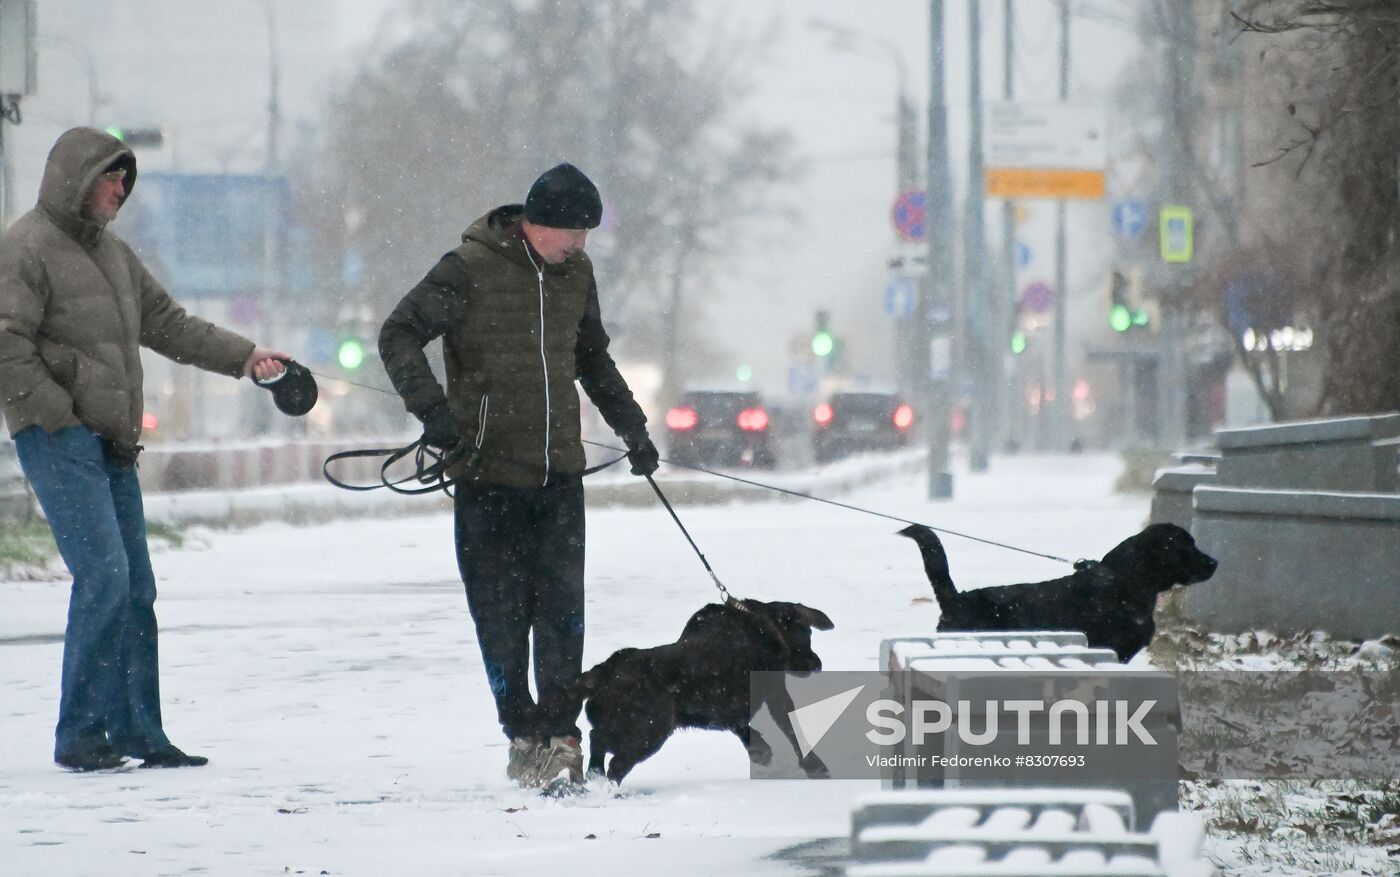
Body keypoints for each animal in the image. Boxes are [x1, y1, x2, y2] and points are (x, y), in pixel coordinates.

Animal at [562, 596, 834, 784]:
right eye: (807, 632)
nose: (817, 664)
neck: (764, 627)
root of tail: (602, 671)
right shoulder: (774, 691)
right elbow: (791, 730)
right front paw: (815, 766)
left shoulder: (730, 708)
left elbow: (744, 729)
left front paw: (760, 750)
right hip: (649, 731)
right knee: (615, 763)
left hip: (623, 728)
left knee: (596, 740)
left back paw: (593, 777)